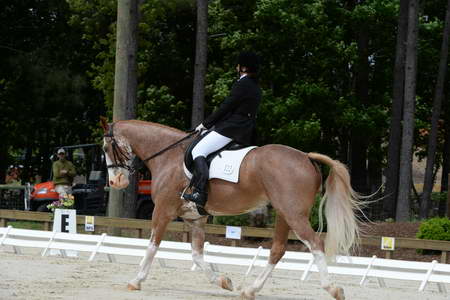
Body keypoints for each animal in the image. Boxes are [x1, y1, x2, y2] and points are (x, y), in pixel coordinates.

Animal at [101, 119, 362, 300]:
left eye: (105, 148)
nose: (116, 182)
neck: (168, 155)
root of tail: (307, 157)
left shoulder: (162, 211)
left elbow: (152, 246)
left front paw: (136, 280)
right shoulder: (195, 218)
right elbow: (197, 254)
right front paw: (224, 282)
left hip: (293, 214)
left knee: (315, 244)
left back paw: (333, 289)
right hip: (284, 214)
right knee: (277, 250)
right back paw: (250, 290)